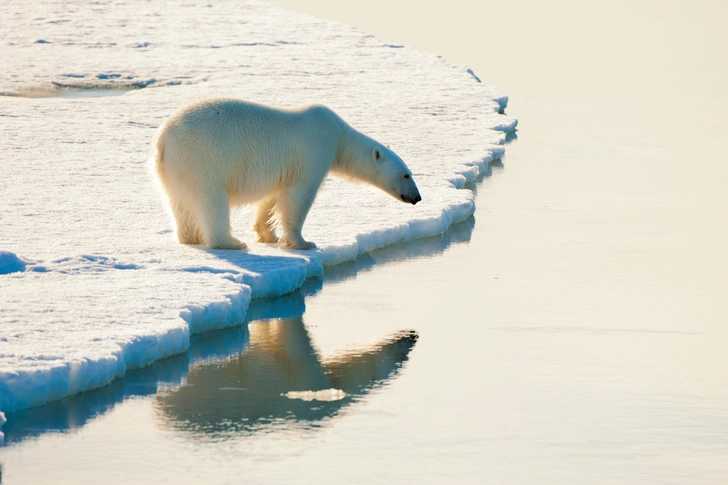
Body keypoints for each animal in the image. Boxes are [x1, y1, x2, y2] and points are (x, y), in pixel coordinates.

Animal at [155, 98, 420, 250]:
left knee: (180, 204)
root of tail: (163, 140)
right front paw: (303, 243)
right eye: (407, 175)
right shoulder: (314, 151)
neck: (338, 136)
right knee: (212, 200)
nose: (417, 198)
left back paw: (191, 238)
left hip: (174, 169)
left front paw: (266, 234)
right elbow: (299, 197)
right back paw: (231, 242)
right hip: (205, 158)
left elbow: (273, 197)